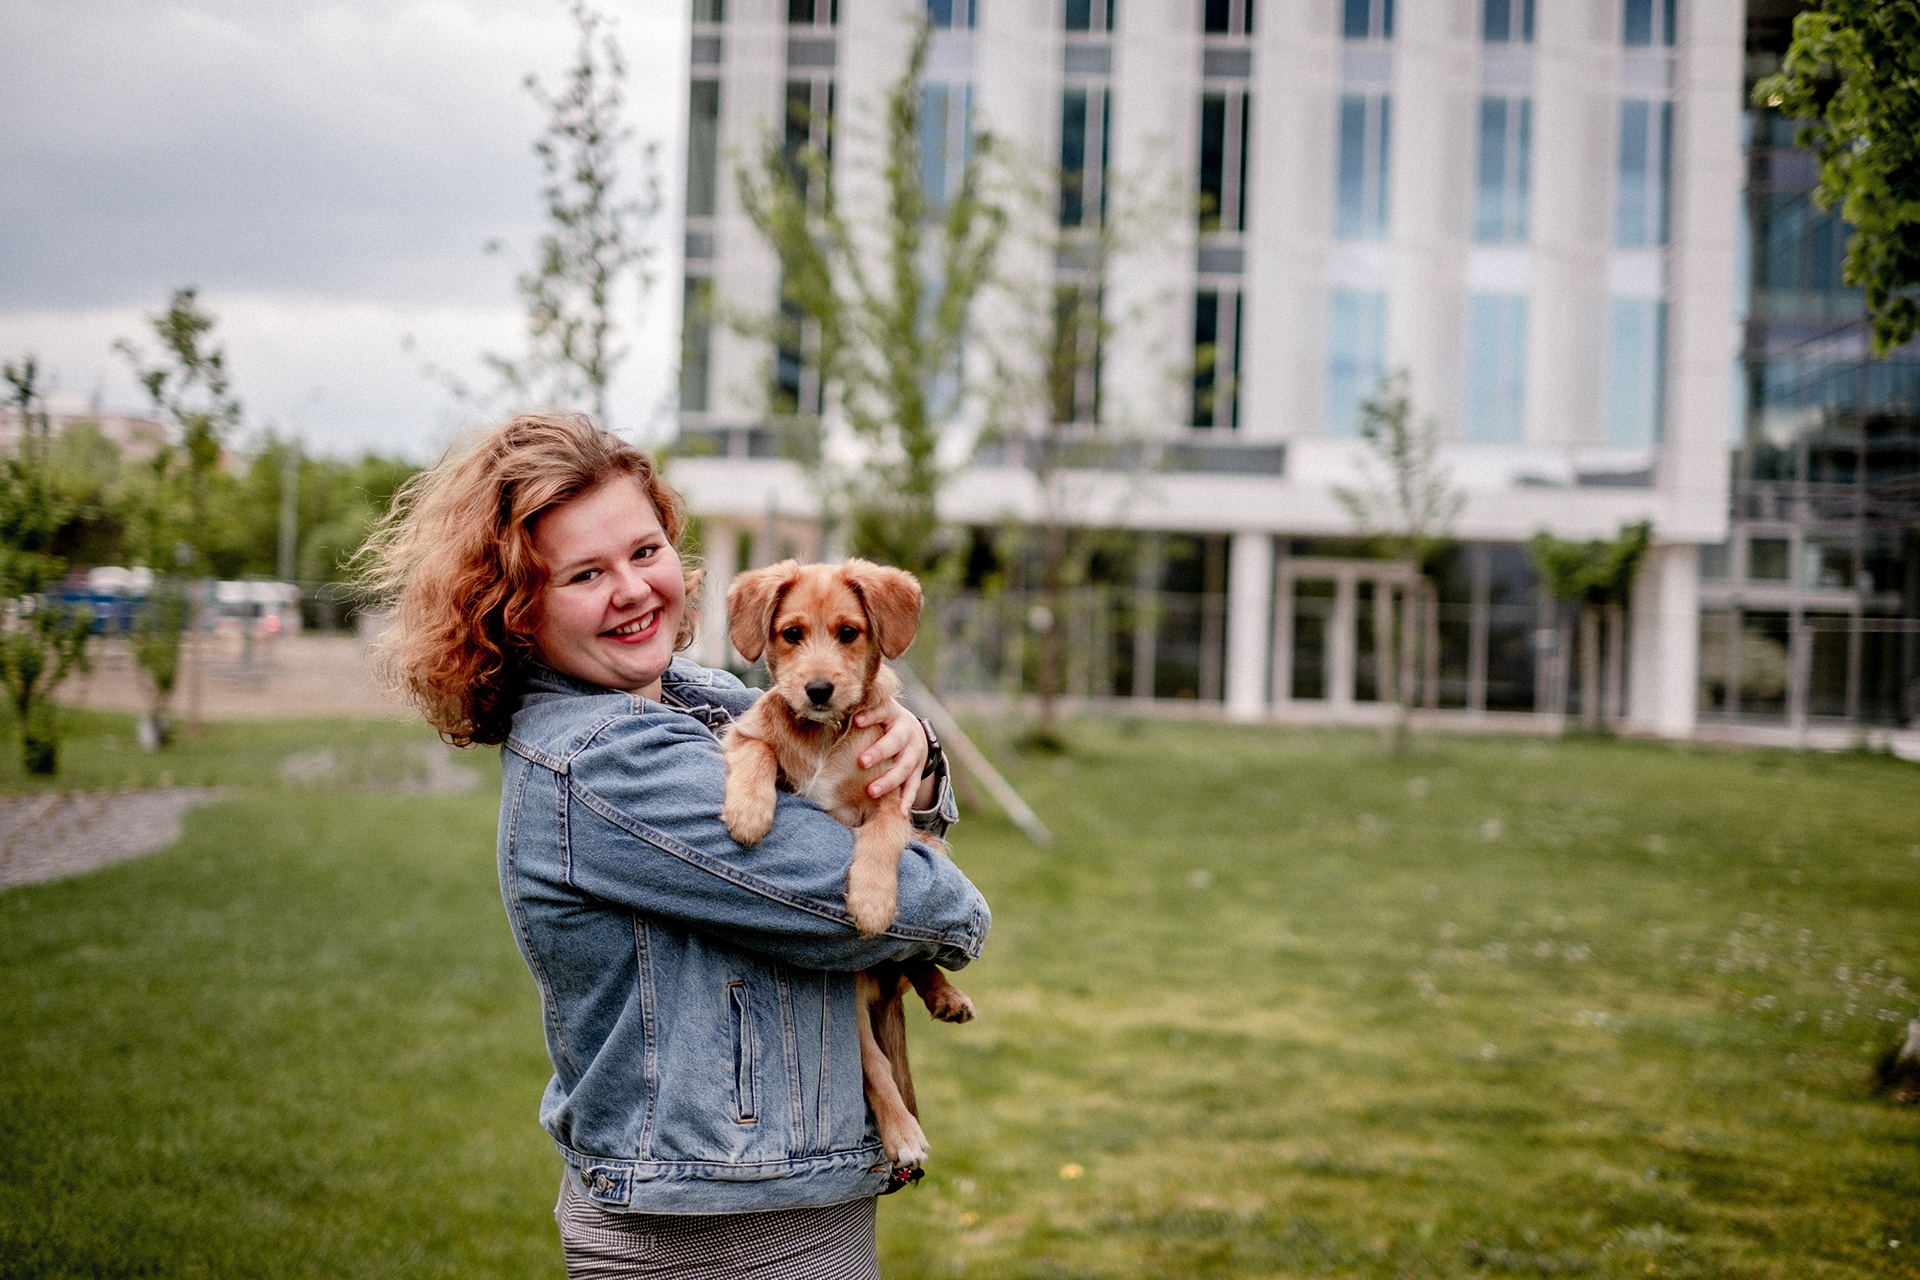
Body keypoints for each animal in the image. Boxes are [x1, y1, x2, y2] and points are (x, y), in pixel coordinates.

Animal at [721, 558, 975, 1170]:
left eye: (848, 633)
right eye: (791, 634)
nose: (817, 689)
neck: (824, 732)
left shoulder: (891, 797)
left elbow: (881, 839)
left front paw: (873, 900)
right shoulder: (746, 731)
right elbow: (757, 746)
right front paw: (748, 809)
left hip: (928, 852)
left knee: (918, 955)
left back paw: (946, 996)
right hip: (850, 1009)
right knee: (876, 1068)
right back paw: (902, 1132)